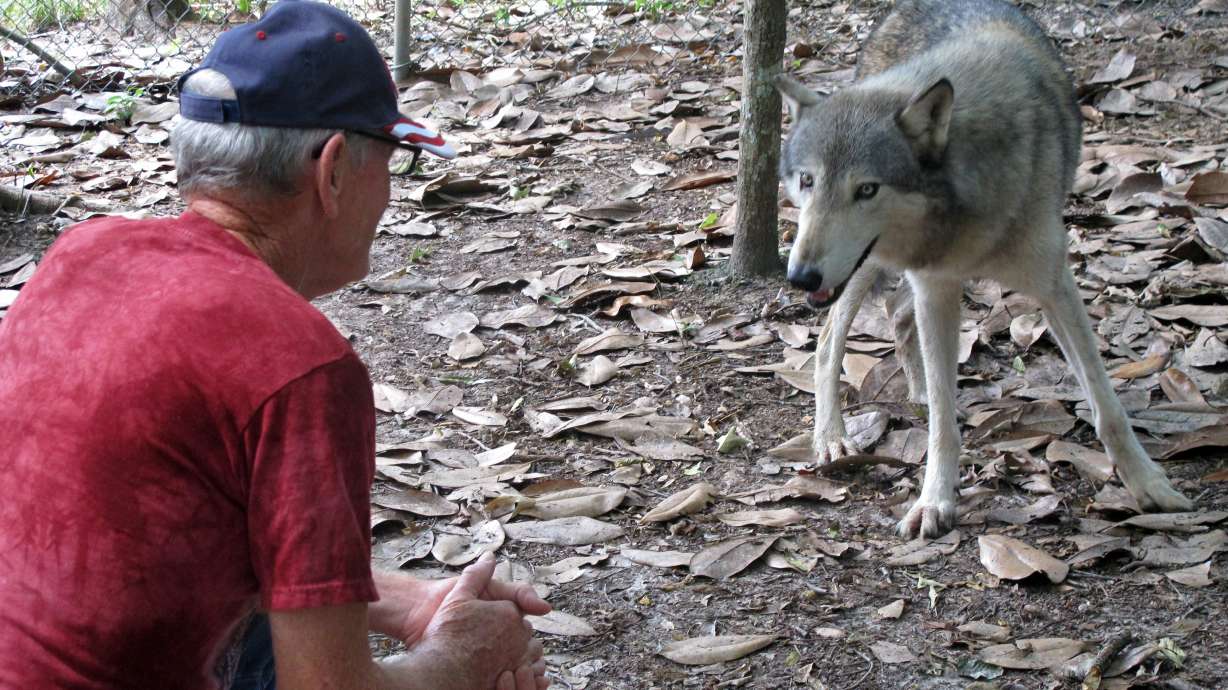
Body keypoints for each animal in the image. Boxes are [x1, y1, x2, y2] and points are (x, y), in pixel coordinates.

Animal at [775, 0, 1193, 538]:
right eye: (807, 180)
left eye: (866, 189)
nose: (800, 277)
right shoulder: (936, 287)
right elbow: (943, 427)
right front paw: (934, 502)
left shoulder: (1053, 285)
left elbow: (1107, 408)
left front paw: (1151, 487)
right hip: (864, 269)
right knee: (830, 340)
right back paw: (832, 438)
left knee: (894, 315)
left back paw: (914, 390)